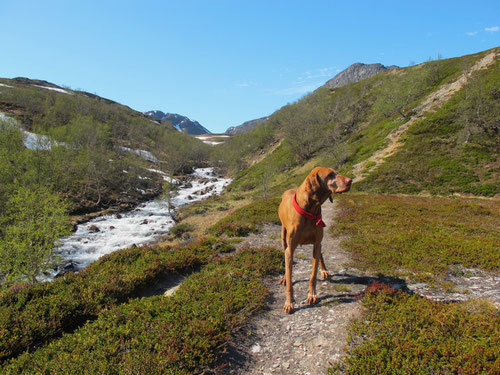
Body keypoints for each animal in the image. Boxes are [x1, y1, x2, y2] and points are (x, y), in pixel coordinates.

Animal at [278, 167, 352, 314]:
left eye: (336, 172)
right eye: (330, 175)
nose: (350, 180)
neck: (310, 210)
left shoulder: (317, 243)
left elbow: (313, 275)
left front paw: (312, 294)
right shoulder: (290, 249)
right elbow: (290, 278)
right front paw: (289, 302)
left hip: (318, 243)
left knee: (320, 256)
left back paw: (324, 270)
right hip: (284, 237)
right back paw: (284, 277)